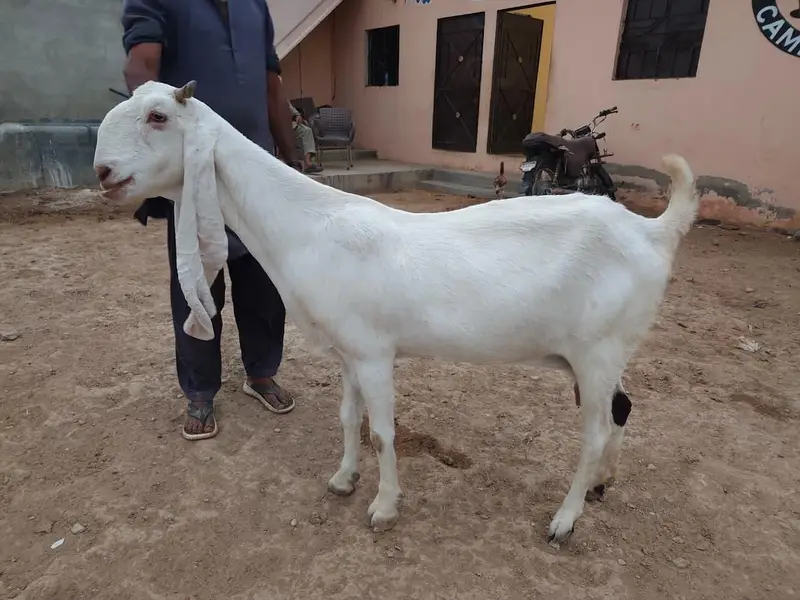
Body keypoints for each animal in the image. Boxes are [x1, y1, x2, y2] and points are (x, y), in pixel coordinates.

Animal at [93, 81, 698, 545]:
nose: (102, 172)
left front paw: (384, 507)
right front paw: (343, 479)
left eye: (158, 116)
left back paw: (565, 520)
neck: (309, 226)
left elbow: (383, 431)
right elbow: (348, 418)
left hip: (598, 351)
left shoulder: (374, 352)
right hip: (604, 355)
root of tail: (654, 230)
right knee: (621, 409)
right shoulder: (347, 354)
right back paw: (599, 485)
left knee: (595, 430)